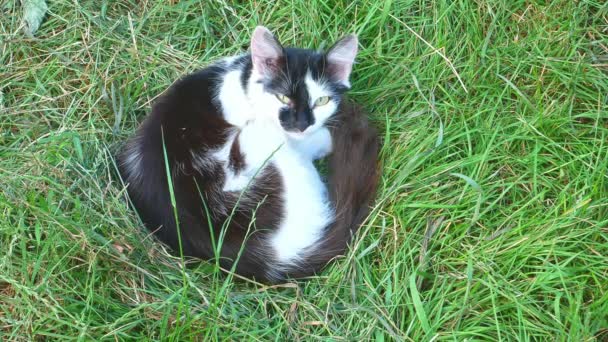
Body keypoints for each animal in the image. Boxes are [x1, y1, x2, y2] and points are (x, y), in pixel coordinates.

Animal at [116, 26, 378, 282]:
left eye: (322, 100)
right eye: (282, 97)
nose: (302, 125)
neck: (244, 82)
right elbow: (308, 142)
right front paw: (323, 137)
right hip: (261, 143)